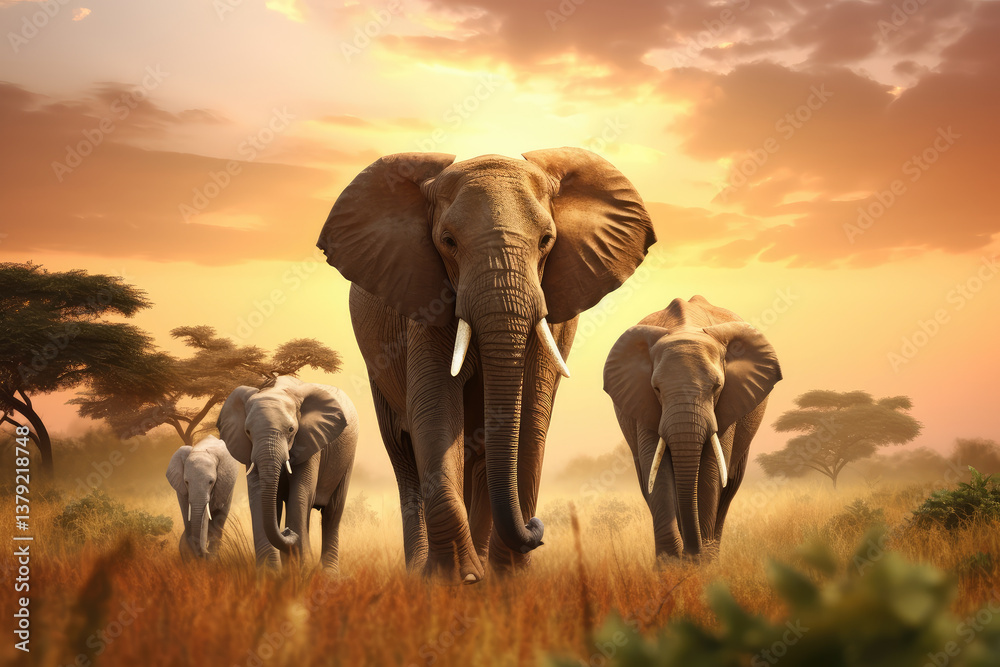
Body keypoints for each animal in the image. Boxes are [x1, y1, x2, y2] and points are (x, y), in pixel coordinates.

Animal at [216, 376, 358, 572]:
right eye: (248, 432)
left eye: (291, 430)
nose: (287, 531)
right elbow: (258, 496)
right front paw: (270, 573)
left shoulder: (310, 440)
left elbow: (301, 493)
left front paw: (302, 568)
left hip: (348, 457)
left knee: (332, 513)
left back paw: (329, 574)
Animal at [317, 148, 655, 582]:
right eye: (447, 242)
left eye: (546, 241)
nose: (536, 528)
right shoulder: (424, 299)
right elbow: (436, 411)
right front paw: (457, 579)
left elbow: (531, 418)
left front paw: (508, 578)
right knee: (404, 454)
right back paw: (422, 571)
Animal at [603, 296, 782, 560]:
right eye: (656, 389)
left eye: (716, 387)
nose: (692, 551)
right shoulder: (641, 399)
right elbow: (655, 467)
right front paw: (671, 564)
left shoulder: (729, 401)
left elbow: (710, 469)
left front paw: (698, 565)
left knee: (729, 488)